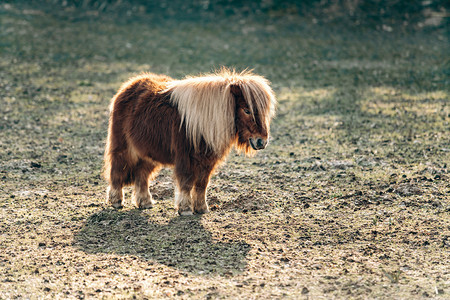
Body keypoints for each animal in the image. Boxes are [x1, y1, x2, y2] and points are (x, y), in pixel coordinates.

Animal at [103, 68, 276, 214]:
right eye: (246, 110)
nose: (262, 142)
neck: (204, 122)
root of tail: (128, 86)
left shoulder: (208, 161)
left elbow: (201, 184)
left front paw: (201, 208)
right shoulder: (185, 158)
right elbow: (186, 183)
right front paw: (185, 209)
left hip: (148, 153)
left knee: (141, 175)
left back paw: (145, 202)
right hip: (123, 147)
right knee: (117, 170)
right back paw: (116, 200)